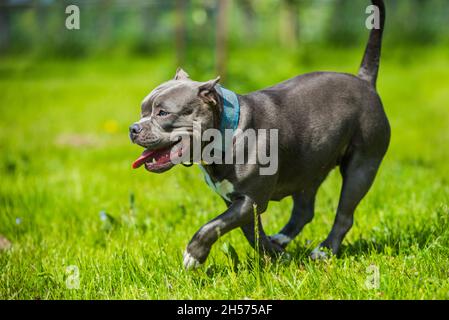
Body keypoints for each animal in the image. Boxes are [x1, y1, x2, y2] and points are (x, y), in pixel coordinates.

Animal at [130, 0, 388, 268]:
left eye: (162, 113)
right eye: (142, 110)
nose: (134, 128)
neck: (228, 134)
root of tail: (365, 81)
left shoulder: (250, 200)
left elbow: (212, 226)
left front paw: (194, 254)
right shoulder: (237, 202)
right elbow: (249, 233)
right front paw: (276, 255)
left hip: (362, 167)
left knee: (344, 214)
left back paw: (325, 250)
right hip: (308, 167)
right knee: (304, 211)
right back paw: (283, 239)